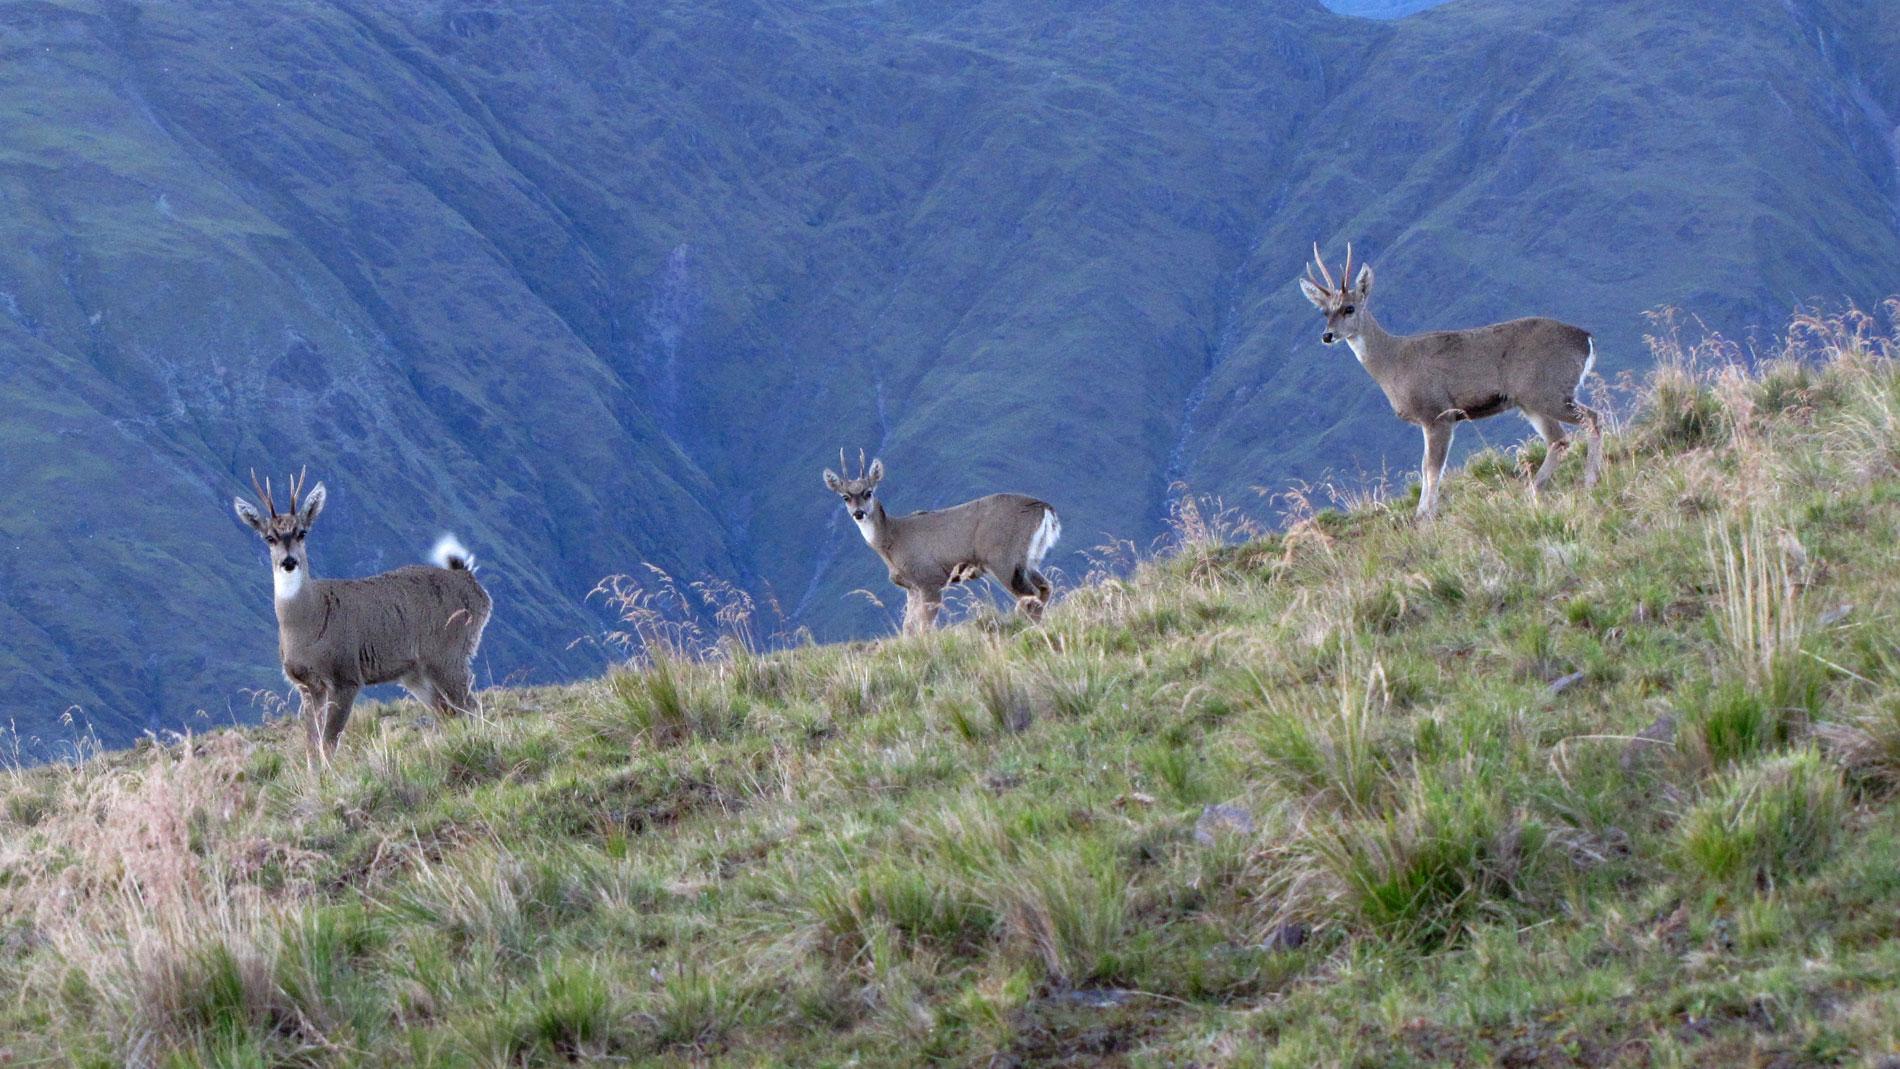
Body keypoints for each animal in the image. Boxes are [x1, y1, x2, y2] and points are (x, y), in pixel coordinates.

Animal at [231, 470, 490, 759]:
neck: (307, 622)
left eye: (302, 532)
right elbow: (311, 744)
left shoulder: (346, 674)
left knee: (471, 706)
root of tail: (472, 584)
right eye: (270, 537)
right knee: (448, 713)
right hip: (416, 672)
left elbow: (329, 742)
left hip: (448, 653)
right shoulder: (307, 686)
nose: (289, 561)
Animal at [828, 451, 1071, 634]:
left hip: (1004, 560)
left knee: (1030, 595)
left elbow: (925, 627)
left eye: (868, 492)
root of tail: (1045, 508)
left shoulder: (930, 579)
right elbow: (909, 628)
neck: (892, 538)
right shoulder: (912, 587)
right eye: (845, 497)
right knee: (1044, 588)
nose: (858, 513)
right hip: (1028, 560)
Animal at [1292, 246, 1603, 524]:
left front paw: (1426, 516)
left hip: (1547, 391)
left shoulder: (1438, 413)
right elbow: (1424, 466)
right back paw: (1536, 489)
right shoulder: (1431, 419)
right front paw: (1421, 513)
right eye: (1324, 312)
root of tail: (1586, 339)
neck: (1393, 363)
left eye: (1349, 308)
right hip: (1531, 401)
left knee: (1591, 419)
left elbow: (1432, 468)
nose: (1327, 336)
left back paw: (1588, 481)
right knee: (1560, 439)